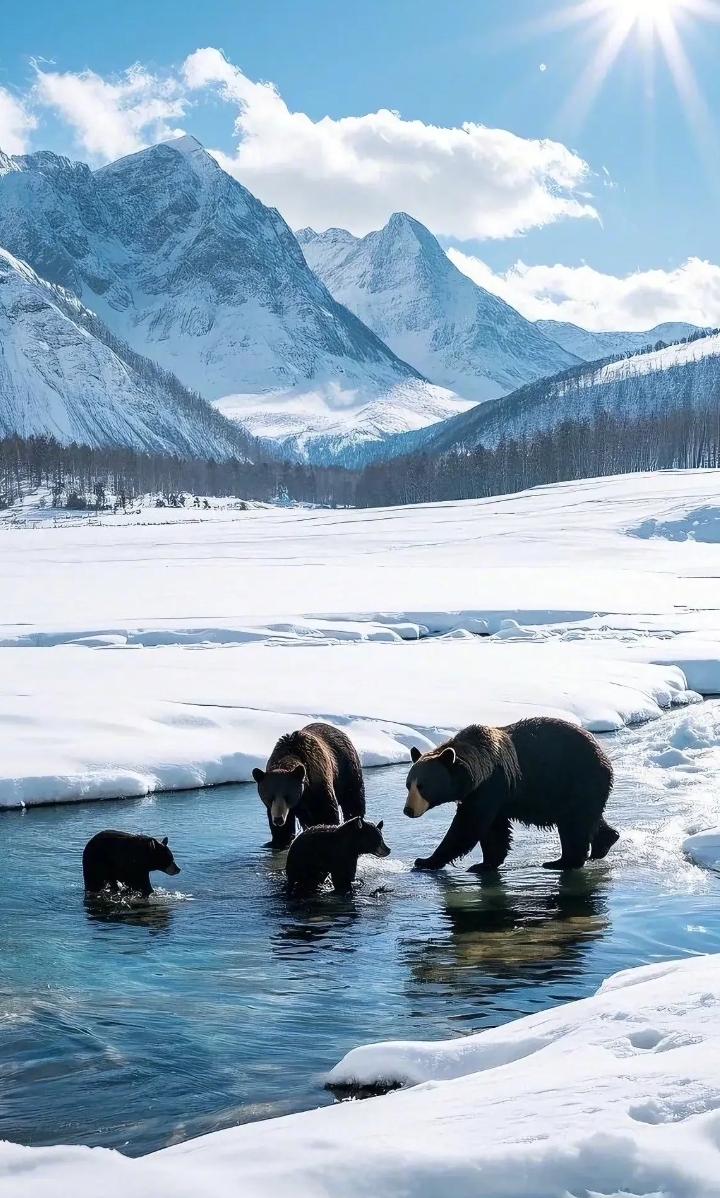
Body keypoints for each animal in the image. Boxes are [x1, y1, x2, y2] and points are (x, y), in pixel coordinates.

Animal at [404, 717, 618, 873]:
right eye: (408, 785)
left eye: (422, 787)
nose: (408, 810)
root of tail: (602, 754)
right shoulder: (489, 794)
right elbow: (493, 829)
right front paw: (485, 864)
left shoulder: (491, 784)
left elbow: (468, 825)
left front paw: (425, 861)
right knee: (587, 819)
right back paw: (605, 842)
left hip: (578, 779)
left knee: (574, 823)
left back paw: (563, 862)